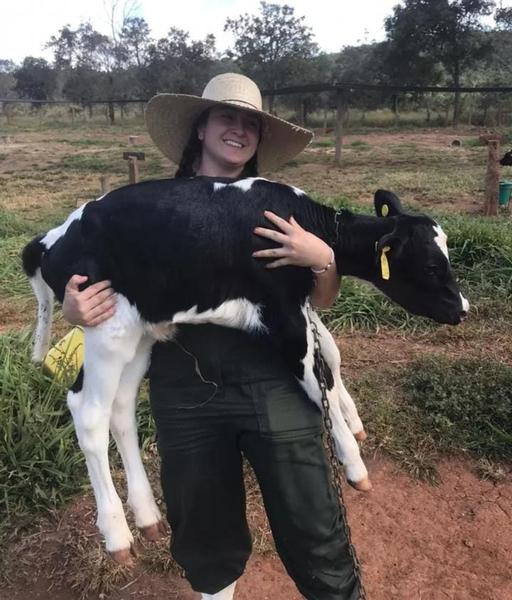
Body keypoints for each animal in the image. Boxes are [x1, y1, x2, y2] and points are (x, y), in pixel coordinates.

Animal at [22, 176, 470, 564]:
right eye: (432, 266)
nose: (463, 309)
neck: (295, 222)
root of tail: (52, 238)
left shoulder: (299, 308)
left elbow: (328, 358)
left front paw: (351, 425)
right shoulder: (282, 315)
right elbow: (316, 378)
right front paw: (353, 462)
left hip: (140, 335)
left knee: (120, 410)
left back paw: (147, 514)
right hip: (107, 330)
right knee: (88, 413)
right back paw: (116, 532)